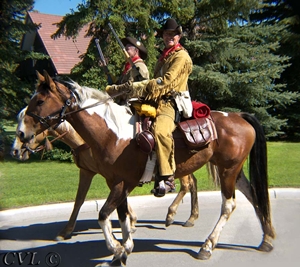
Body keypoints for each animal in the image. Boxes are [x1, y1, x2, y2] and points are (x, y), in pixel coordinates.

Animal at [11, 109, 199, 241]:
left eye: (29, 123)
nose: (15, 151)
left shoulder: (113, 176)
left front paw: (130, 221)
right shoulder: (89, 172)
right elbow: (79, 200)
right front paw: (66, 231)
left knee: (186, 184)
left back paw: (172, 214)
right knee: (192, 183)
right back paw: (190, 217)